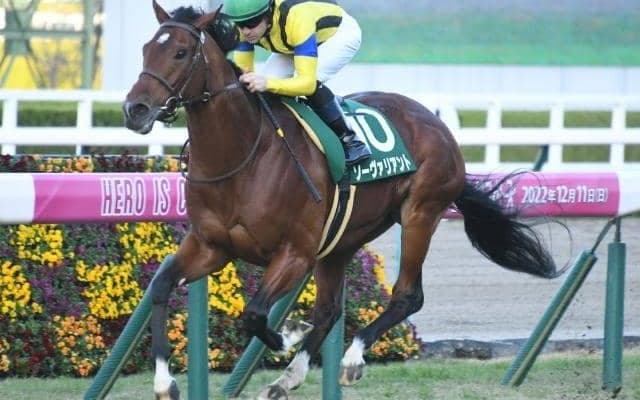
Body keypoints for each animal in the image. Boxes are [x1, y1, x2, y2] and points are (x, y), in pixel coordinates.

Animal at [123, 2, 564, 399]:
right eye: (145, 49)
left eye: (181, 52)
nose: (135, 109)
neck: (243, 155)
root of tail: (436, 123)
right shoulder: (212, 246)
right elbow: (161, 286)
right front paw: (164, 382)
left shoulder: (295, 252)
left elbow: (255, 314)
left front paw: (287, 335)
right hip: (341, 240)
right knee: (331, 310)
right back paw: (287, 379)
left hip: (420, 213)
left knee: (407, 295)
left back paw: (350, 359)